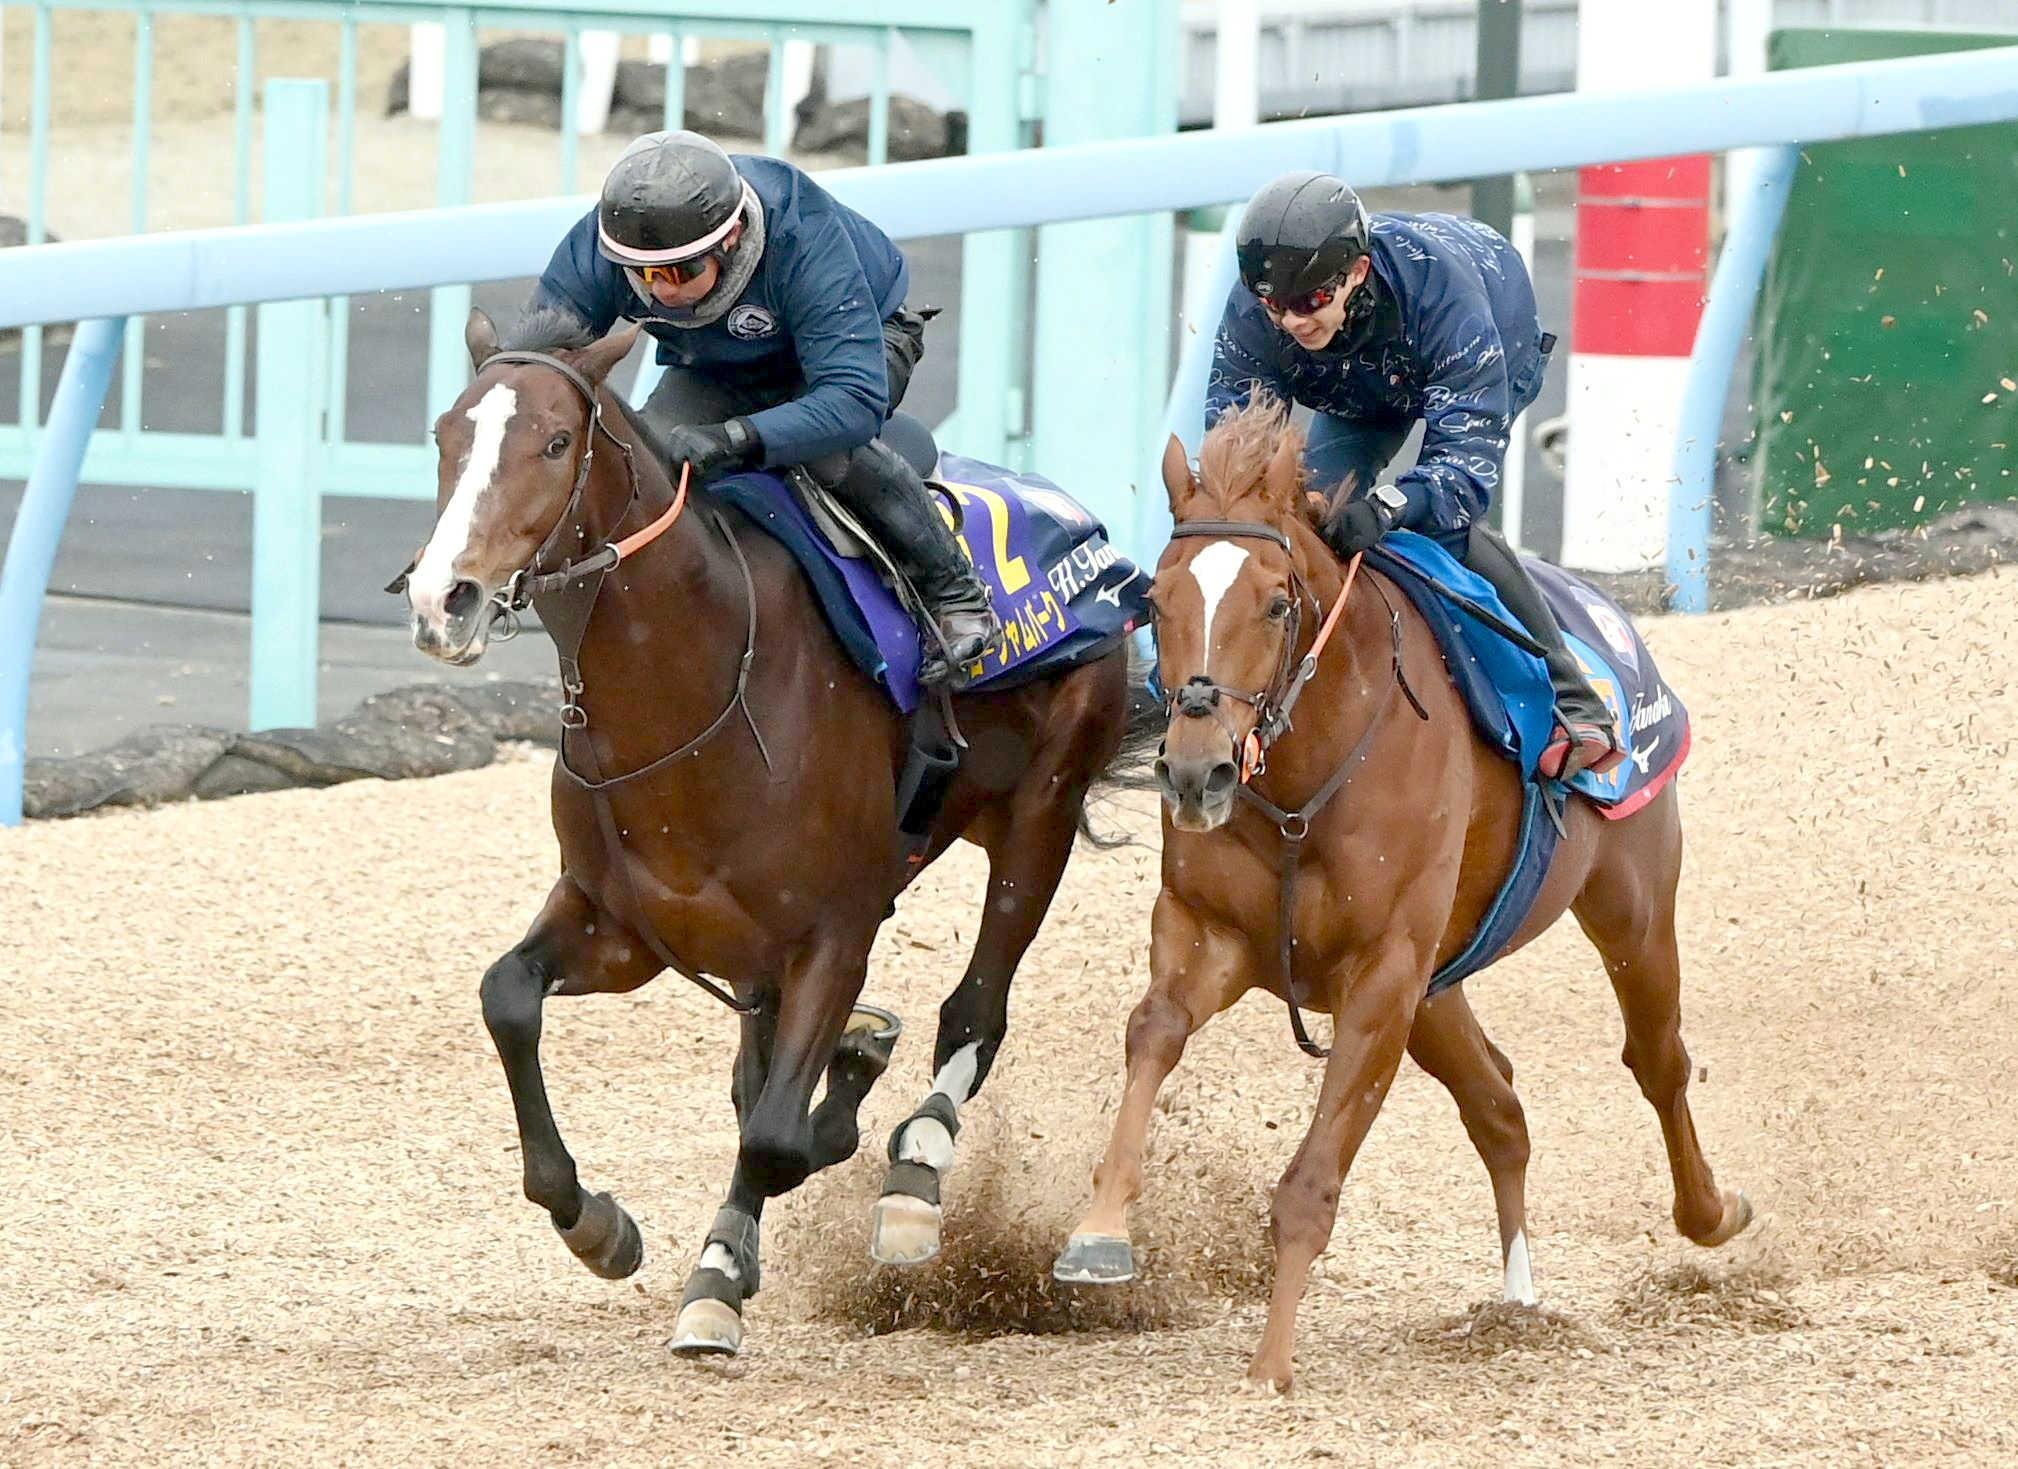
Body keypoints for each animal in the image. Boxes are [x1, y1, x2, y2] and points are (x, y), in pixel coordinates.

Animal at [401, 314, 1146, 1356]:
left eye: (553, 443)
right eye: (446, 436)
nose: (445, 599)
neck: (693, 692)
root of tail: (1092, 539)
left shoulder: (834, 933)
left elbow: (779, 1134)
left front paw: (716, 1279)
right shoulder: (621, 924)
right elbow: (509, 996)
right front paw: (599, 1223)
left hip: (1041, 812)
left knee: (973, 1014)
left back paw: (914, 1173)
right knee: (761, 1070)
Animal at [1057, 399, 1751, 1388]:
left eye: (1277, 602)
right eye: (1155, 600)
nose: (1195, 774)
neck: (1307, 781)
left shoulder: (1382, 975)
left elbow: (1310, 1183)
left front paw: (1271, 1362)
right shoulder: (1210, 933)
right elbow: (1152, 1032)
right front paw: (1100, 1232)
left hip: (1632, 905)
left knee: (1657, 1059)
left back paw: (1711, 1213)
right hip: (1441, 981)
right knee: (1500, 1106)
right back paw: (1517, 1300)